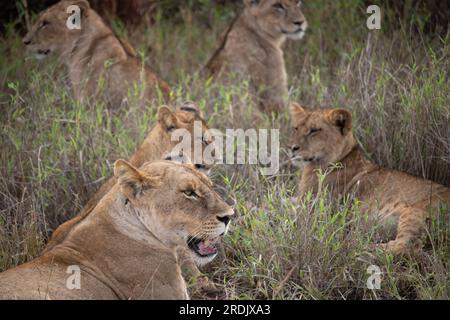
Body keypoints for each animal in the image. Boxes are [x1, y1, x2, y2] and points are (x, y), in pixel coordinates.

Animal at [288, 104, 450, 254]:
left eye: (314, 130)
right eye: (296, 128)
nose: (291, 148)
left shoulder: (312, 210)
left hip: (414, 212)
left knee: (404, 246)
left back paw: (359, 247)